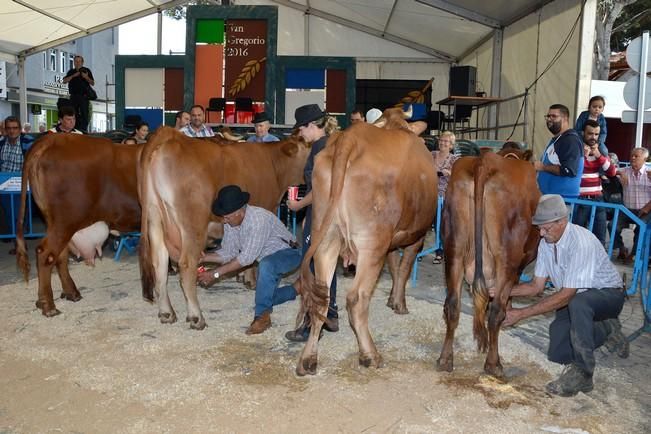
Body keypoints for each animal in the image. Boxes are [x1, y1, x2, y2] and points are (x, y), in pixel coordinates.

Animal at [15, 134, 143, 318]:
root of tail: (53, 138)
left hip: (59, 224)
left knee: (59, 256)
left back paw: (69, 293)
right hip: (64, 221)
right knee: (45, 254)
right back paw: (48, 305)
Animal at [138, 127, 310, 330]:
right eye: (308, 147)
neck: (274, 163)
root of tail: (169, 135)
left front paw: (242, 277)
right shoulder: (266, 207)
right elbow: (254, 254)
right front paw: (251, 280)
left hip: (154, 218)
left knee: (160, 264)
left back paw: (166, 313)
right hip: (192, 224)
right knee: (186, 265)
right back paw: (196, 317)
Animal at [296, 109, 438, 376]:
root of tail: (349, 139)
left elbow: (394, 265)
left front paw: (392, 299)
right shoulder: (416, 235)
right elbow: (404, 268)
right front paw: (399, 303)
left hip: (327, 237)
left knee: (322, 298)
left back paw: (307, 360)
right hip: (371, 243)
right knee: (356, 298)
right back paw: (370, 355)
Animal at [438, 148, 540, 376]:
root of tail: (486, 161)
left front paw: (480, 337)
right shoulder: (518, 264)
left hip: (454, 248)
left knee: (452, 305)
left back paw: (445, 359)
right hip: (507, 259)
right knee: (495, 313)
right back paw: (494, 364)